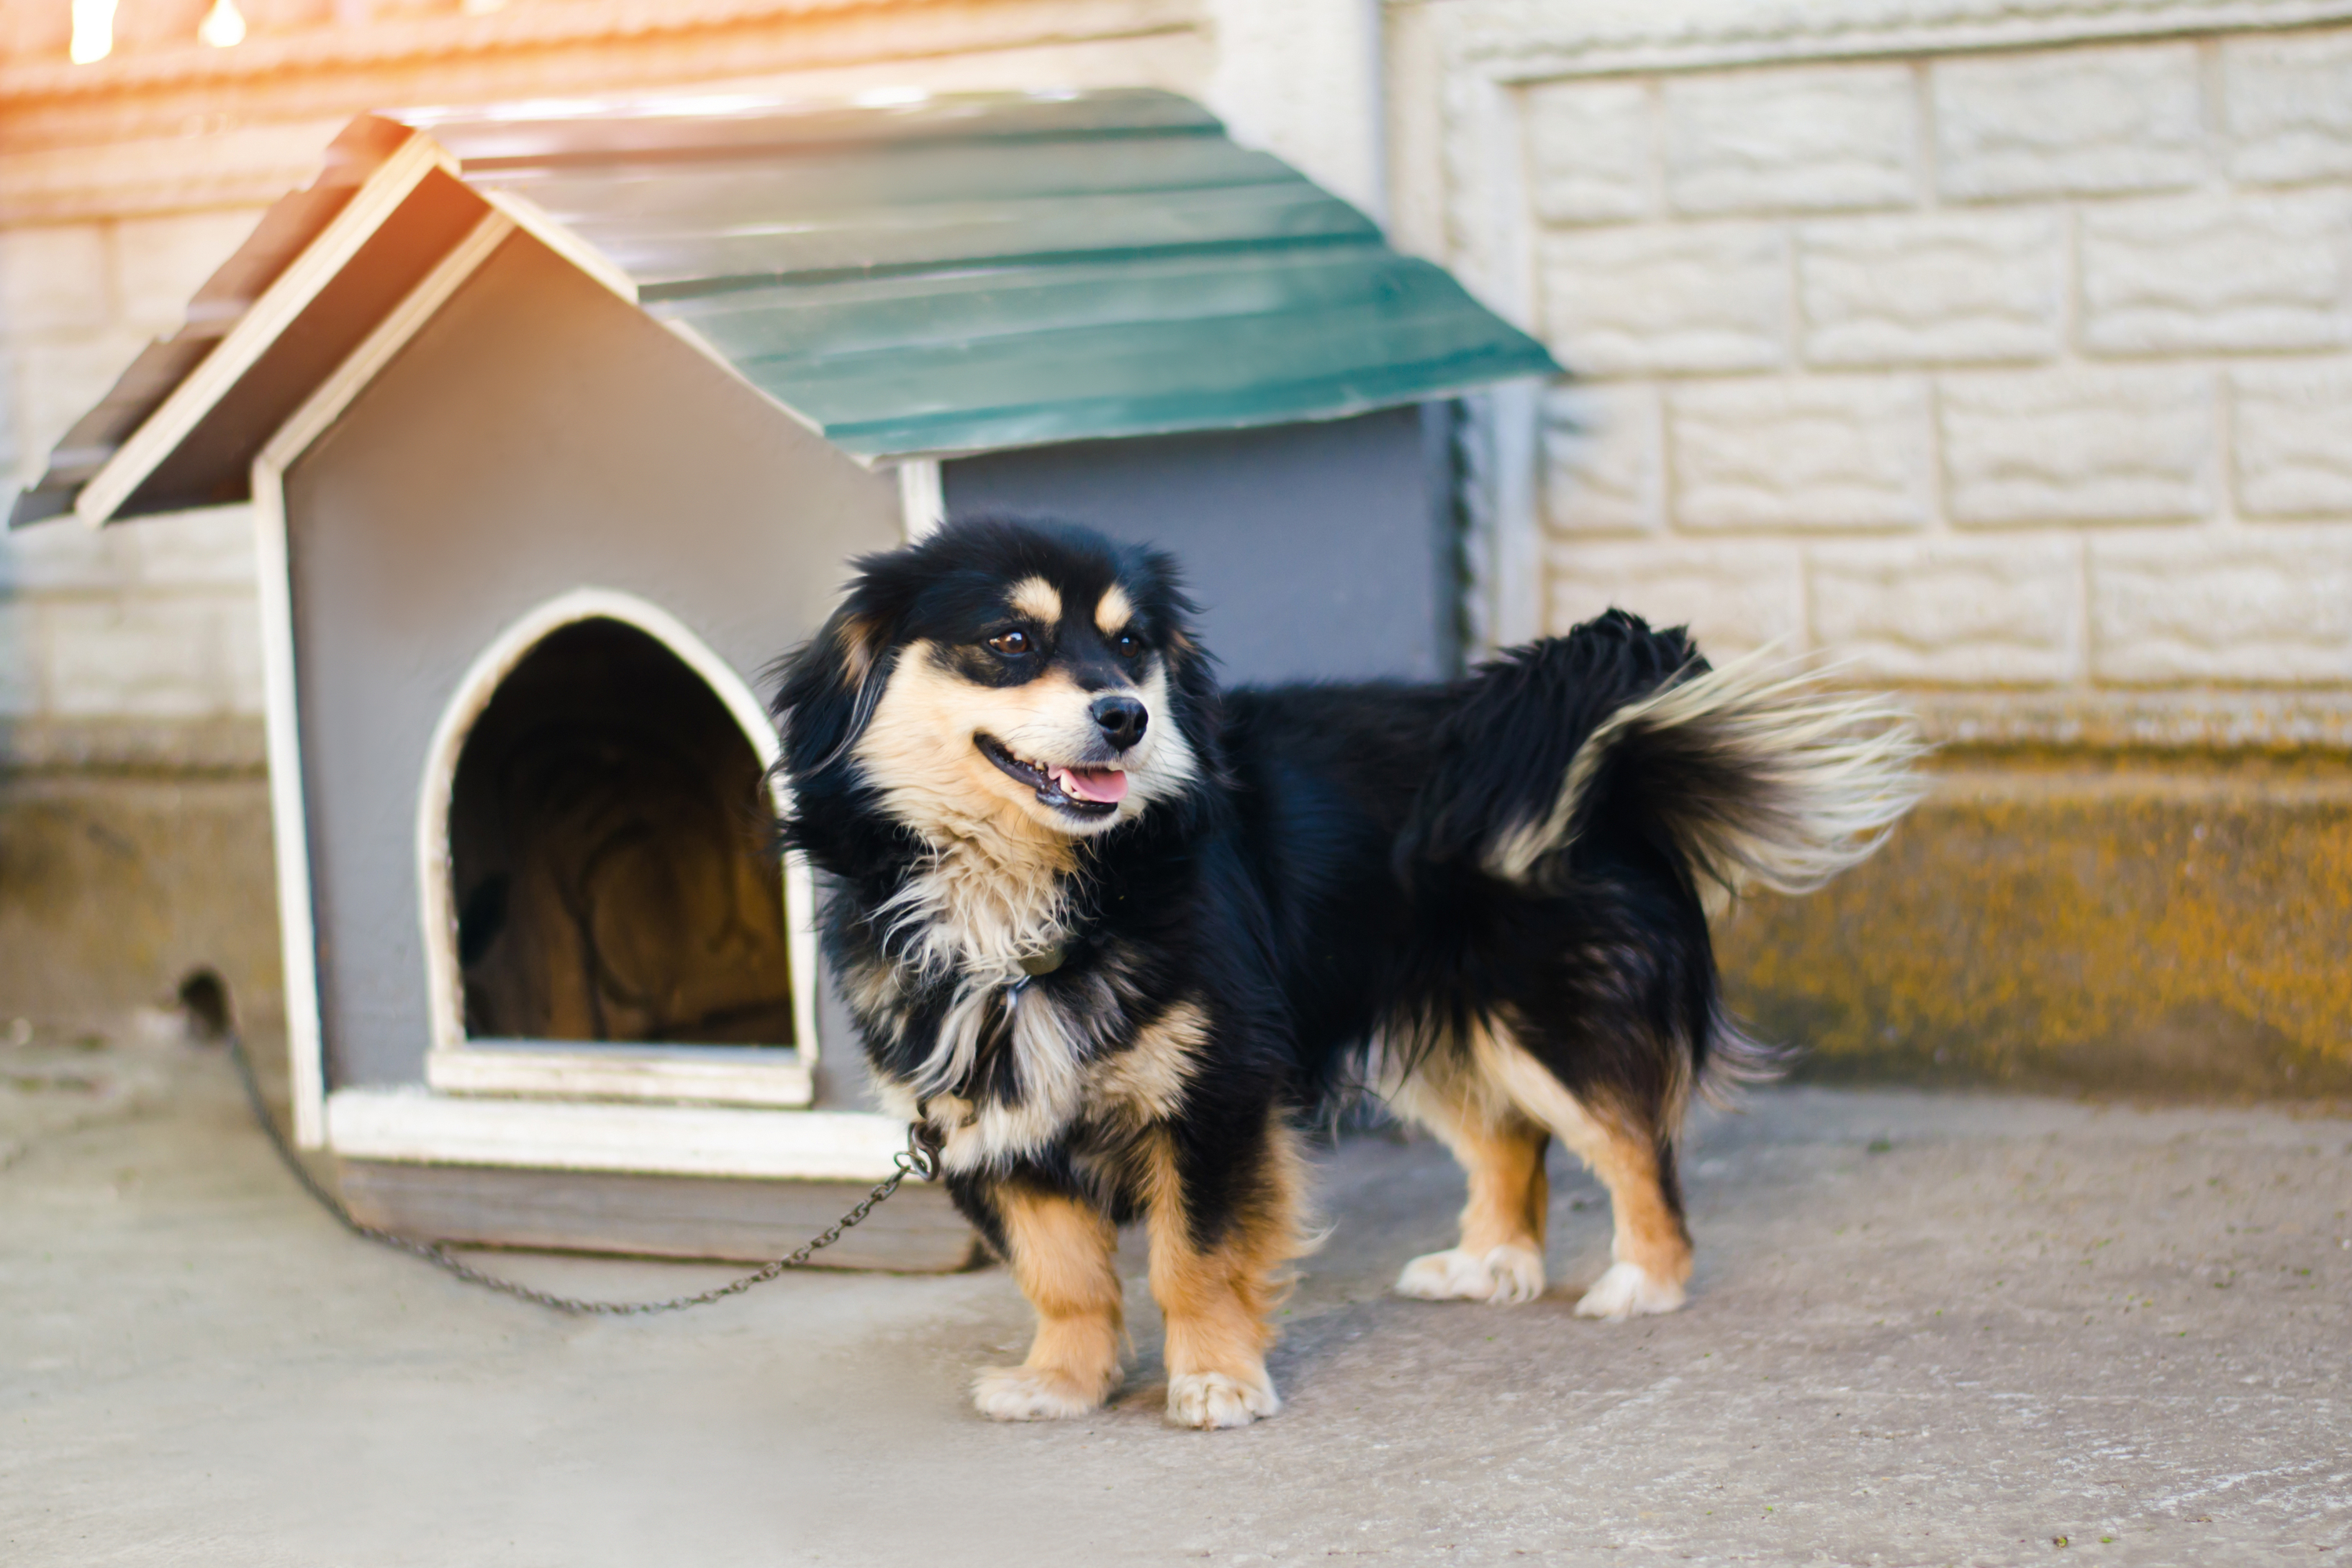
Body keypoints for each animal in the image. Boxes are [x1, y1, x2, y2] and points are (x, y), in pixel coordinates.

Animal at [781, 521, 1919, 1429]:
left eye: (1133, 647)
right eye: (1011, 642)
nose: (1126, 716)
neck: (1028, 899)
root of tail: (1607, 766)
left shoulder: (1215, 1093)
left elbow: (1191, 1259)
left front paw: (1216, 1380)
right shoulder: (988, 1118)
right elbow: (1062, 1275)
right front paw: (1064, 1383)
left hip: (1543, 1018)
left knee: (1634, 1148)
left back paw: (1643, 1278)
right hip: (1442, 1020)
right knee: (1511, 1141)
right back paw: (1491, 1262)